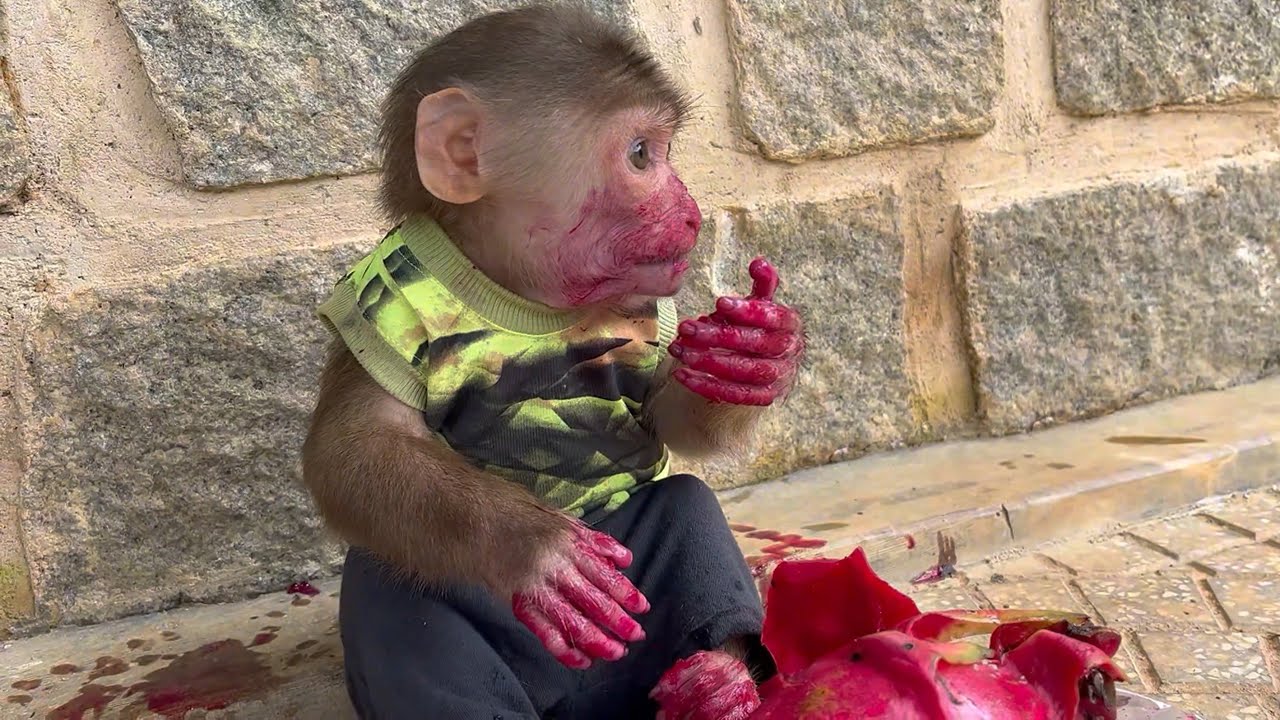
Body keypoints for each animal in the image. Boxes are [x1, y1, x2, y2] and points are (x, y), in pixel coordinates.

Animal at [300, 4, 805, 719]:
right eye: (641, 154)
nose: (690, 213)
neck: (525, 298)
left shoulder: (649, 307)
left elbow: (673, 418)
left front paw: (754, 352)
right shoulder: (379, 298)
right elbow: (355, 444)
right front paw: (535, 546)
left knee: (684, 504)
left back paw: (718, 677)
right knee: (397, 596)